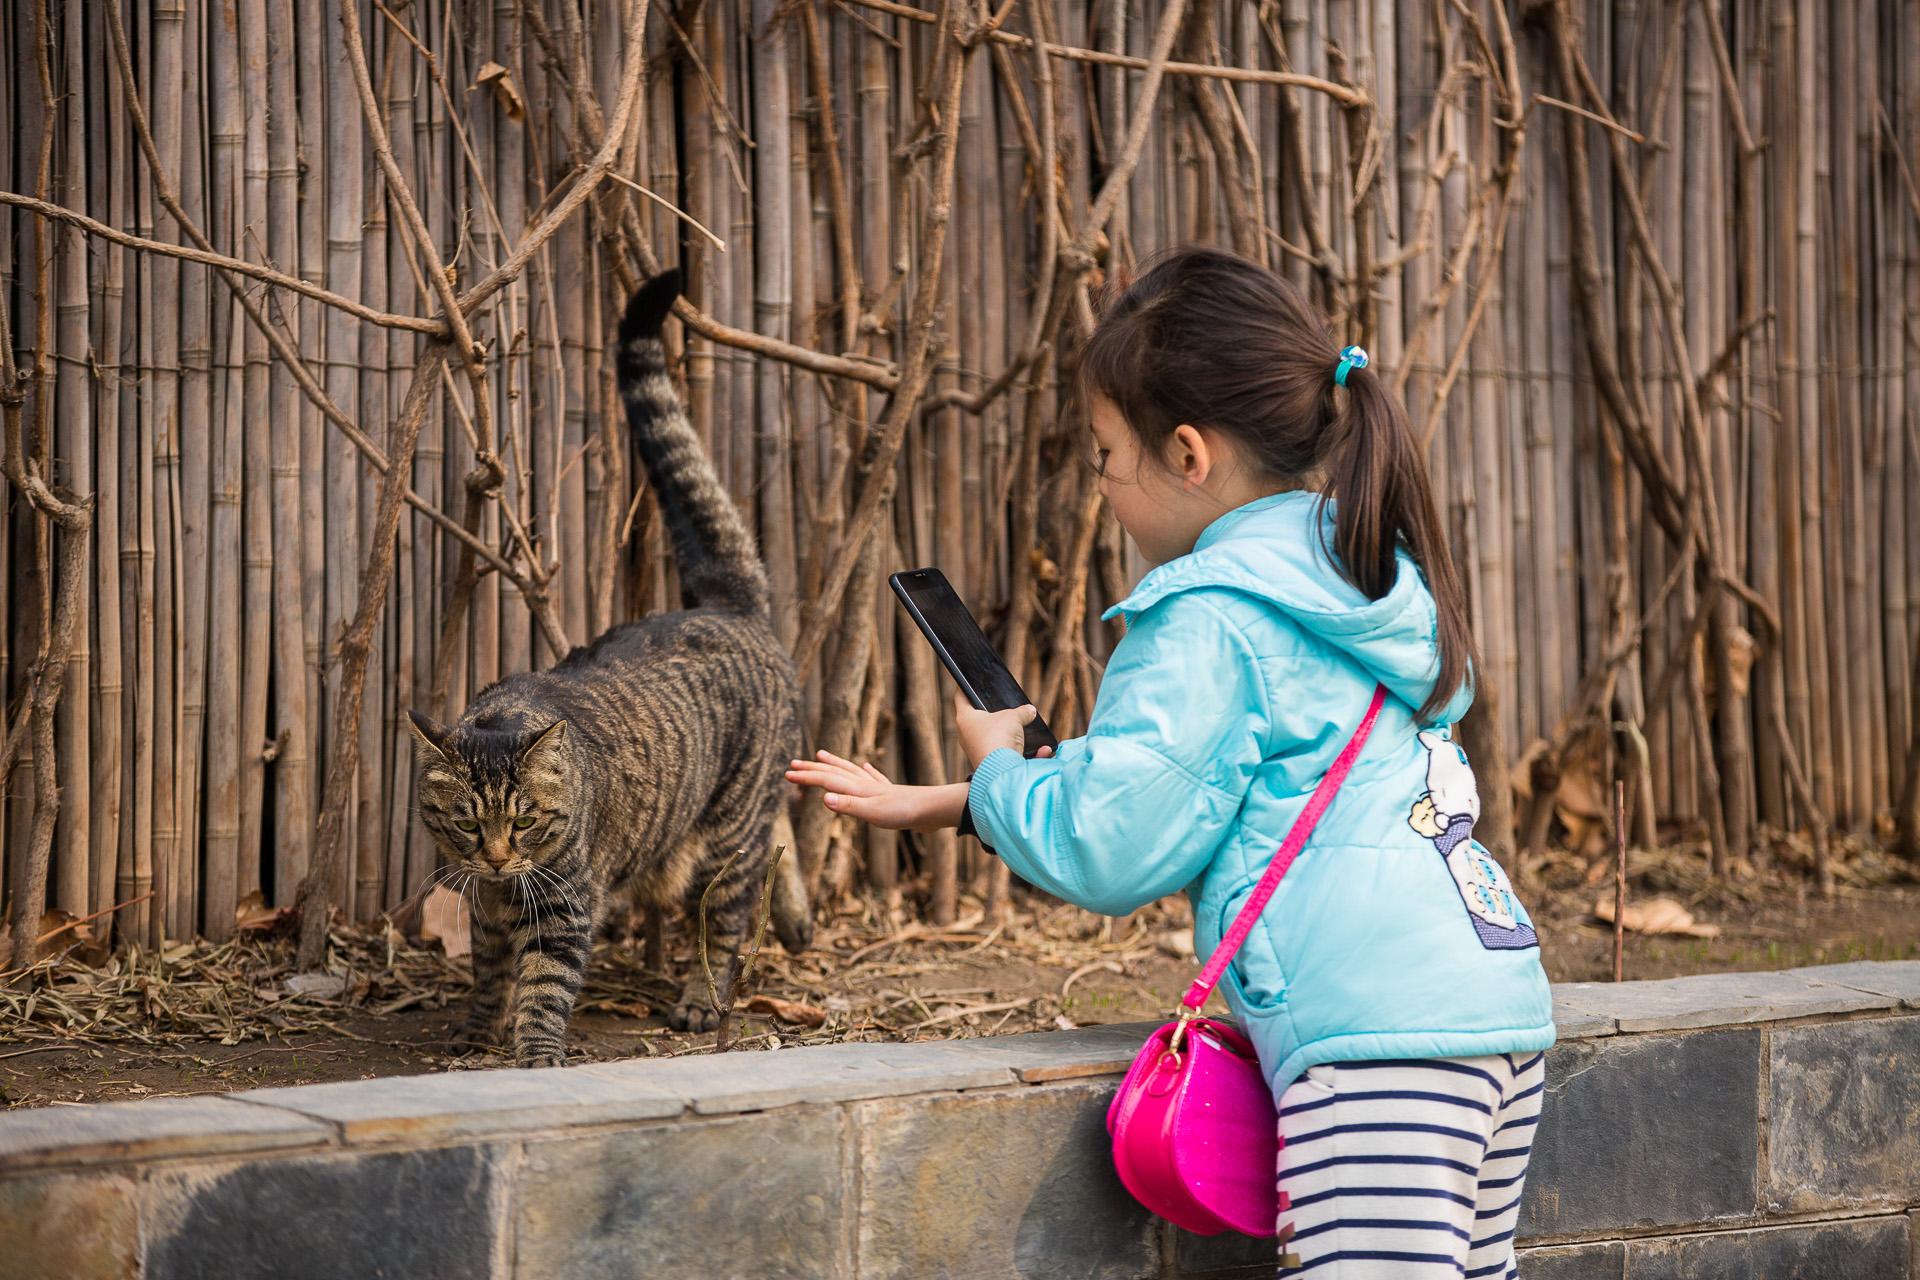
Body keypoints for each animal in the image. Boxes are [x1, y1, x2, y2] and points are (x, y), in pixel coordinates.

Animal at [410, 272, 810, 1074]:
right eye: (467, 822)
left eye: (525, 820)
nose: (496, 858)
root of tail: (729, 605)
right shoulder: (487, 908)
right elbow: (489, 972)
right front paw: (476, 1028)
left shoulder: (564, 905)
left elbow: (543, 986)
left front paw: (535, 1054)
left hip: (730, 826)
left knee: (728, 911)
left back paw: (702, 998)